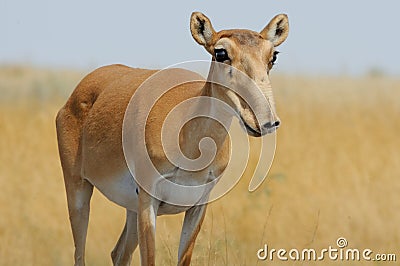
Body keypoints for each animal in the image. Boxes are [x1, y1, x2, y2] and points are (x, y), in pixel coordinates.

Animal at [55, 11, 288, 264]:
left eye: (273, 56)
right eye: (221, 52)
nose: (266, 121)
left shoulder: (198, 206)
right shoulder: (148, 200)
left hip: (130, 210)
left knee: (118, 253)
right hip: (78, 188)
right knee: (80, 254)